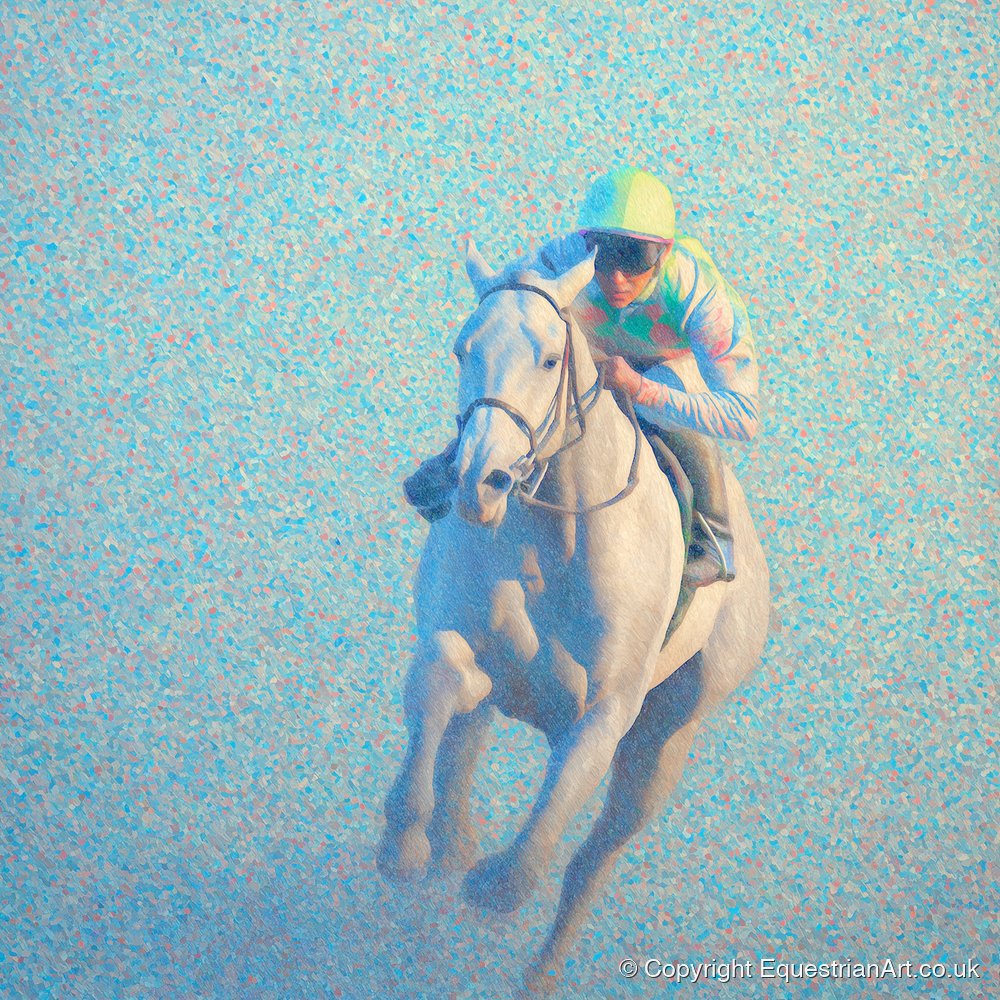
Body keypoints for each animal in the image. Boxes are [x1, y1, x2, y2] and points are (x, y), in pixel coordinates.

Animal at [376, 243, 770, 992]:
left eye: (550, 359)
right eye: (462, 349)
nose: (480, 481)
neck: (554, 535)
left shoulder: (605, 711)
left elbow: (544, 835)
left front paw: (496, 882)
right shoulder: (470, 652)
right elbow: (442, 682)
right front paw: (406, 842)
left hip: (667, 738)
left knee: (592, 863)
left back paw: (539, 973)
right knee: (460, 764)